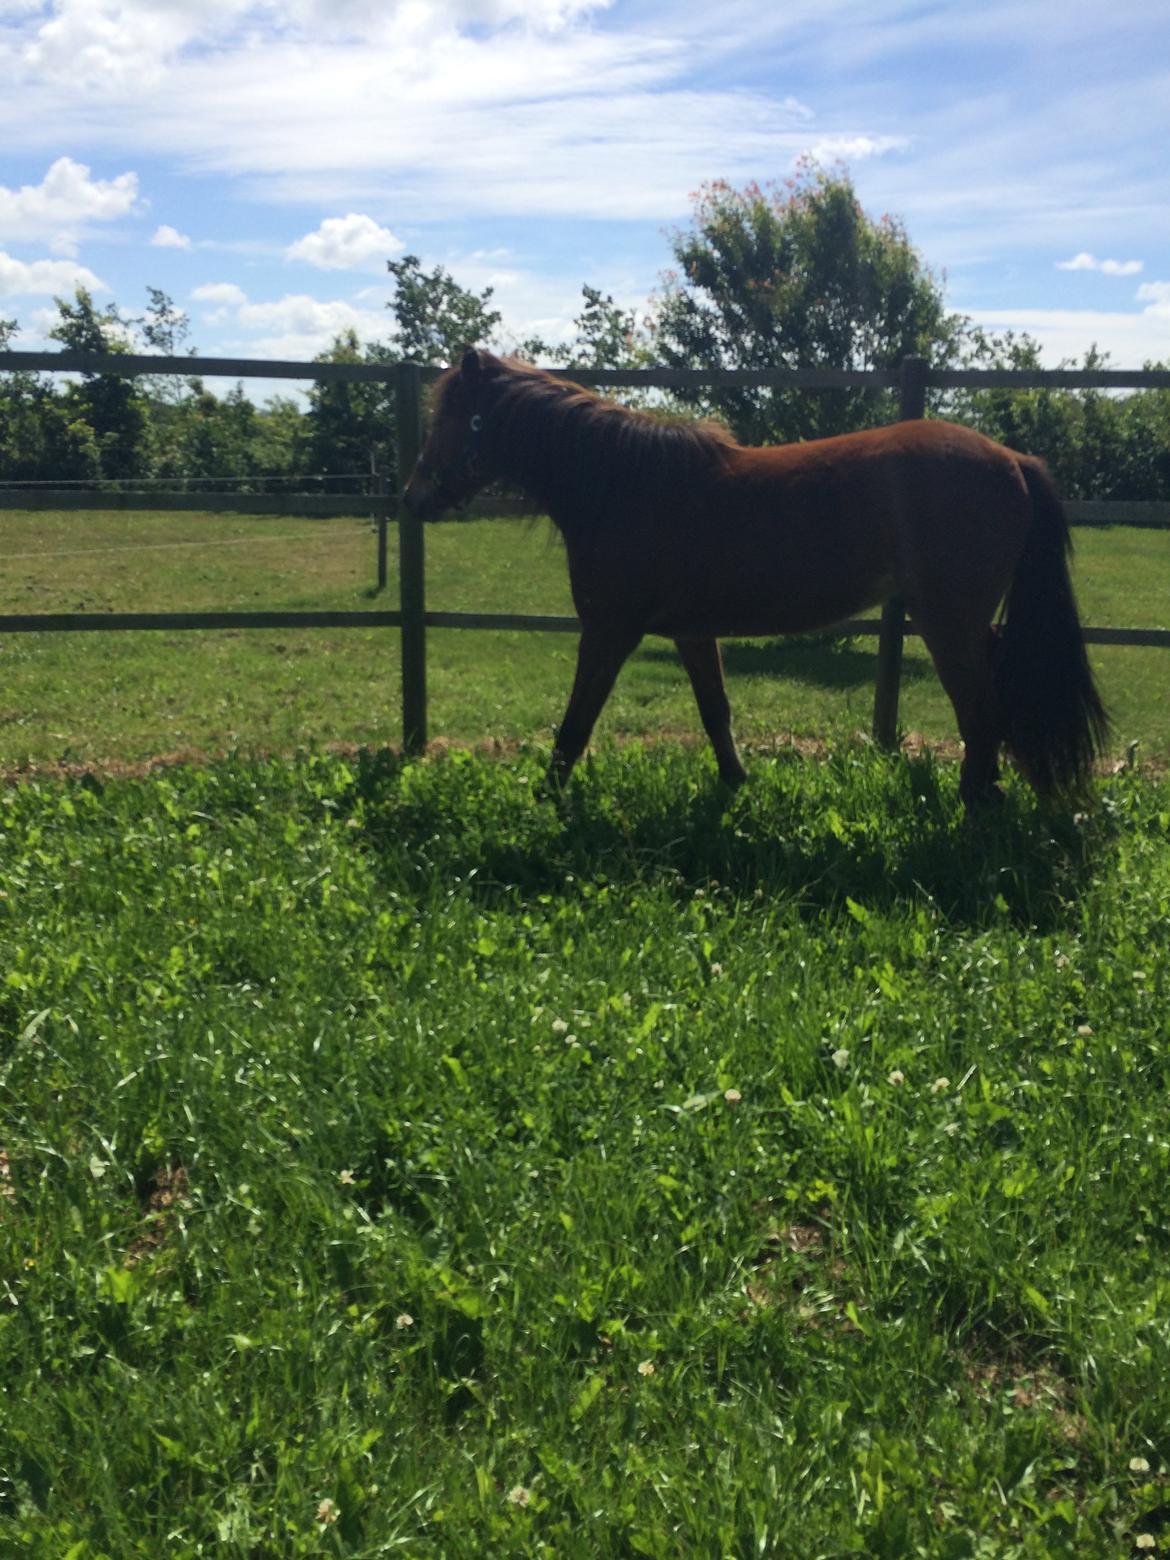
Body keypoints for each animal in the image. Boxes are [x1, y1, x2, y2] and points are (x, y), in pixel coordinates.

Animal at [402, 349, 1110, 811]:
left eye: (447, 418)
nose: (412, 498)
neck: (626, 485)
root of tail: (1013, 459)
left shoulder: (608, 631)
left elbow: (575, 724)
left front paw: (544, 800)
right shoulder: (691, 633)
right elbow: (716, 711)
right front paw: (736, 783)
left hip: (948, 623)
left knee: (981, 713)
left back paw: (974, 809)